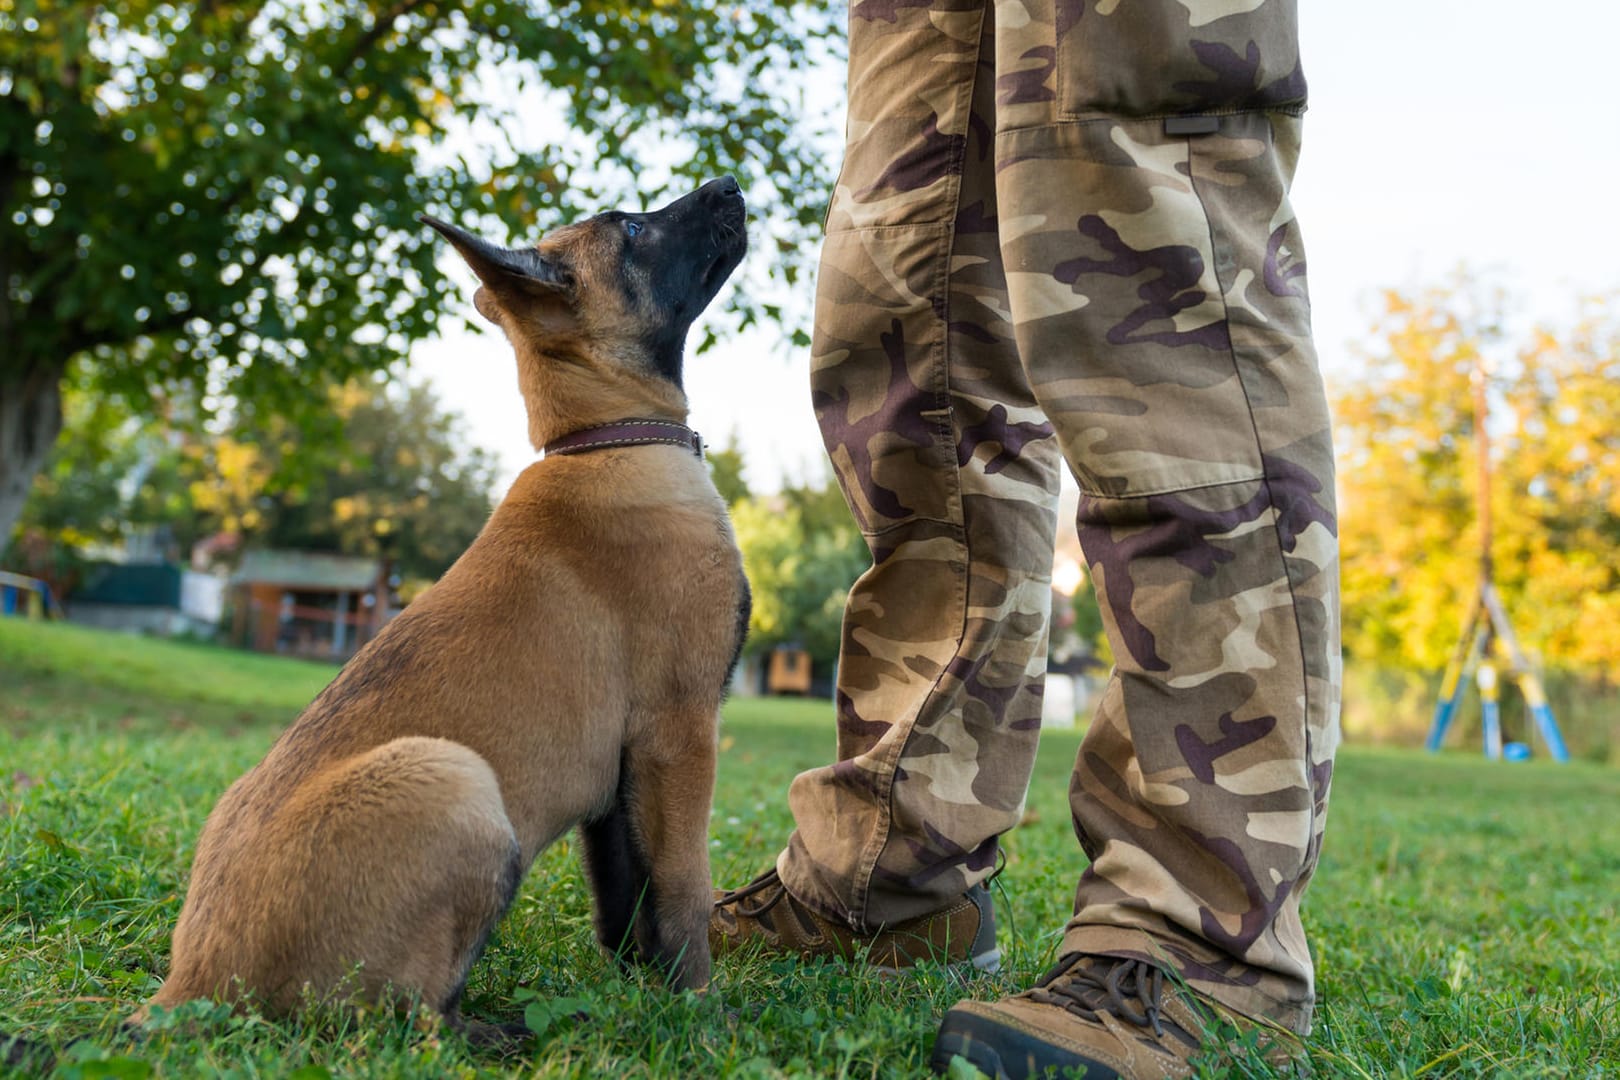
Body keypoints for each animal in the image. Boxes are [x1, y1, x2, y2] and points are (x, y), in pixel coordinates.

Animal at [142, 175, 748, 1036]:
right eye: (631, 228)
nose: (729, 184)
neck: (607, 440)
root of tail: (190, 985)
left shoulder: (623, 776)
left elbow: (629, 904)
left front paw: (644, 999)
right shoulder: (682, 729)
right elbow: (686, 889)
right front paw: (702, 1011)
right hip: (454, 778)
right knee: (406, 1021)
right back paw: (499, 1035)